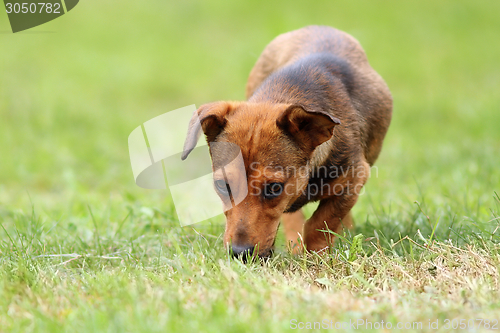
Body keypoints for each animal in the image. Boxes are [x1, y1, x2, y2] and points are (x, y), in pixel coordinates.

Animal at [182, 26, 392, 258]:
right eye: (222, 185)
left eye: (274, 188)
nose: (240, 253)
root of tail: (317, 27)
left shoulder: (355, 176)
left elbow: (322, 221)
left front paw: (317, 257)